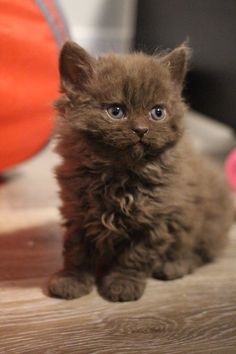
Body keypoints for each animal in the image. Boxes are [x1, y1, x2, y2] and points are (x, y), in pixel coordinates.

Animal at [48, 40, 234, 302]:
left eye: (157, 112)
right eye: (116, 111)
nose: (141, 129)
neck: (119, 177)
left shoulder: (155, 220)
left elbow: (135, 256)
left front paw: (122, 284)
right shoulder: (78, 213)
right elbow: (77, 250)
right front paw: (72, 280)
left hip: (207, 222)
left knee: (199, 250)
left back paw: (173, 265)